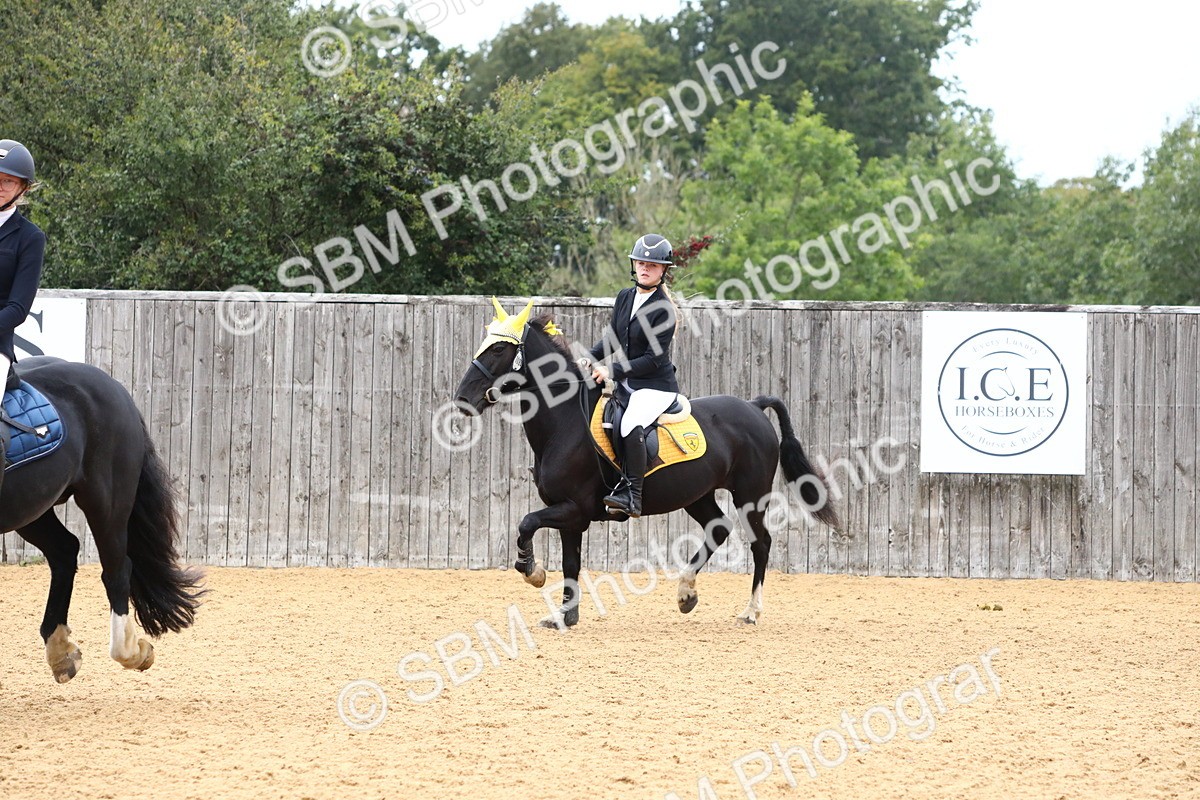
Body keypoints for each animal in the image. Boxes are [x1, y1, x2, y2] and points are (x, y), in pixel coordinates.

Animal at [1, 357, 204, 683]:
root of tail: (114, 387)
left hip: (106, 503)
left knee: (117, 571)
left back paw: (132, 653)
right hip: (30, 506)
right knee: (64, 551)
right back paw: (61, 653)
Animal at [453, 300, 839, 628]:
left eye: (499, 349)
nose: (462, 399)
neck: (565, 422)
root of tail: (754, 406)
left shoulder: (574, 508)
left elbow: (526, 523)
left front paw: (532, 571)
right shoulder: (570, 516)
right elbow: (570, 563)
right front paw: (565, 616)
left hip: (751, 495)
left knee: (761, 543)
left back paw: (750, 611)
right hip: (697, 494)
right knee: (718, 528)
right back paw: (686, 594)